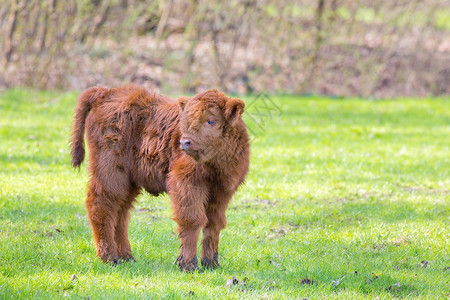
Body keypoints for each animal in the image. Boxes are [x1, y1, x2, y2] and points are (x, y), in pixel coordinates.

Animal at [70, 85, 250, 270]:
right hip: (111, 173)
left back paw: (127, 257)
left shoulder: (222, 192)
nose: (185, 142)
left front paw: (211, 264)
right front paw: (187, 264)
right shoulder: (187, 184)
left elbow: (214, 224)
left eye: (211, 121)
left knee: (121, 213)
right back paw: (110, 258)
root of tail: (105, 93)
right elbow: (192, 220)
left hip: (129, 182)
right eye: (185, 120)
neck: (215, 165)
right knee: (101, 205)